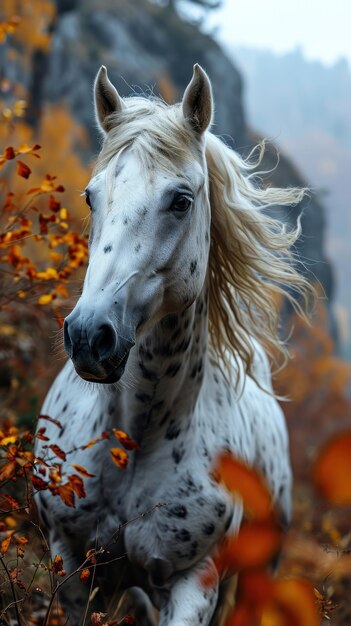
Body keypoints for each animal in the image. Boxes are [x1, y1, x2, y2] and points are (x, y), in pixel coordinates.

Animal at [35, 64, 310, 624]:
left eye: (181, 201)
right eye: (91, 196)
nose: (89, 336)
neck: (135, 440)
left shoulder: (194, 581)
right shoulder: (68, 562)